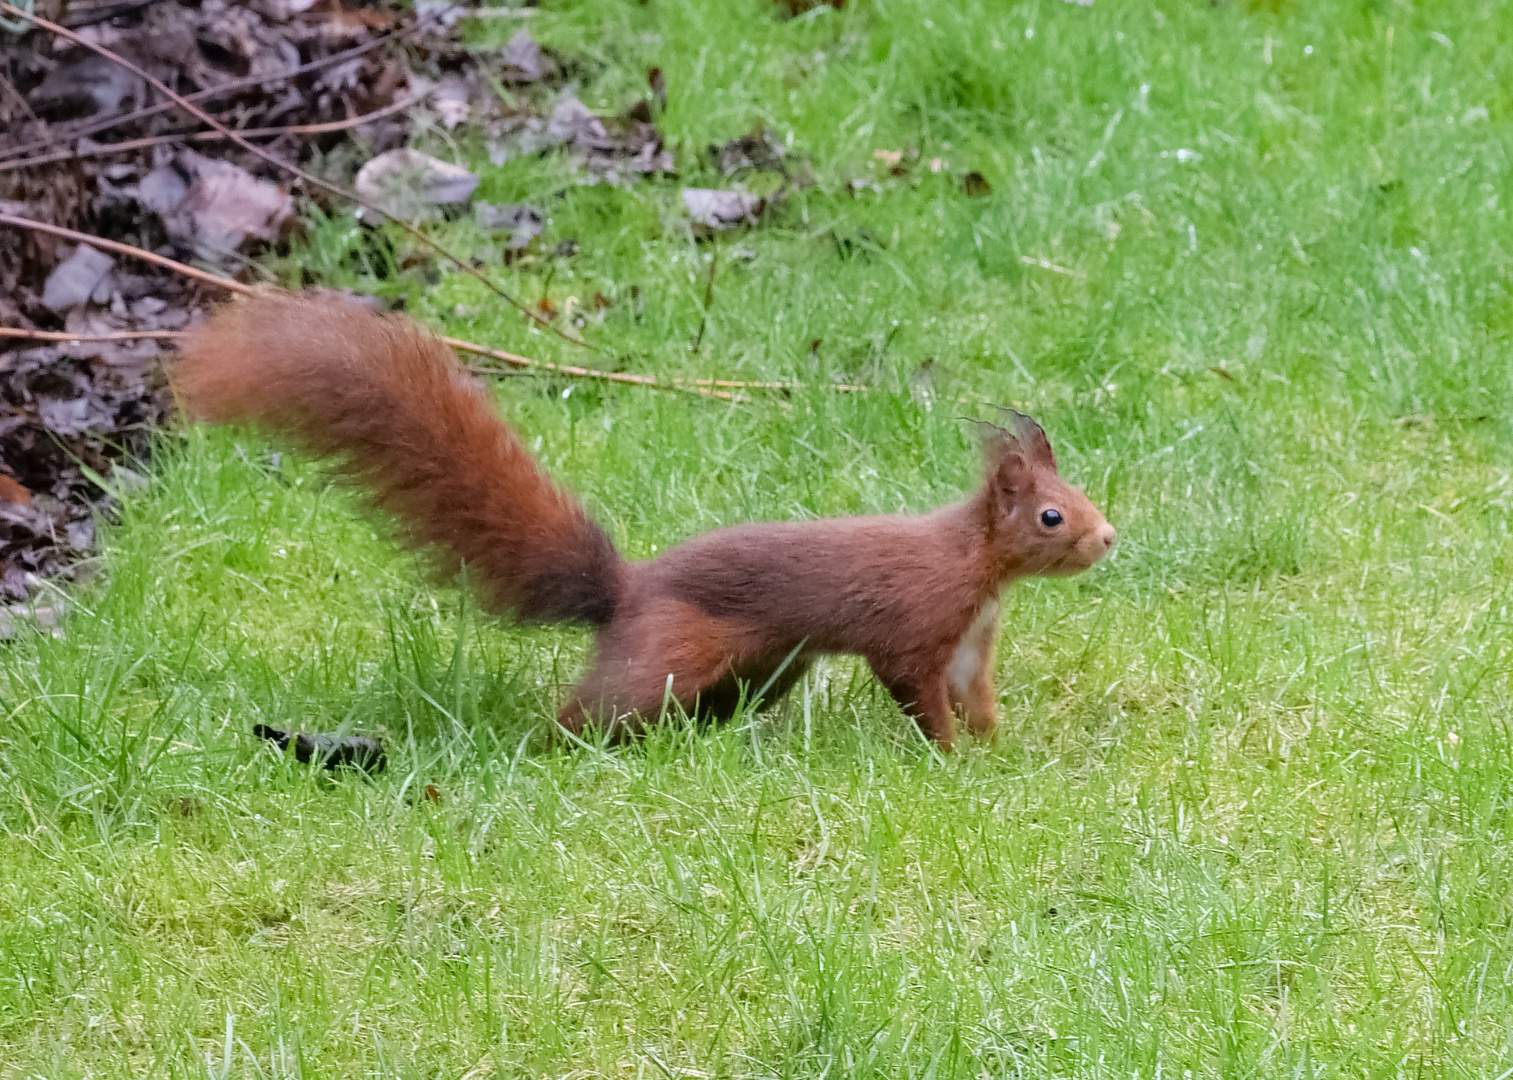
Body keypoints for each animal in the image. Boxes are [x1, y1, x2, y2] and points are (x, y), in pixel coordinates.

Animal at [173, 294, 1113, 750]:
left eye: (1082, 499)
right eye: (1051, 515)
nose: (1108, 538)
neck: (976, 567)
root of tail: (624, 595)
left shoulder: (972, 639)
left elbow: (975, 691)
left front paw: (993, 743)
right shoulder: (915, 627)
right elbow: (919, 692)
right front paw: (949, 755)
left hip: (767, 665)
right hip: (671, 652)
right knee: (590, 711)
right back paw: (562, 745)